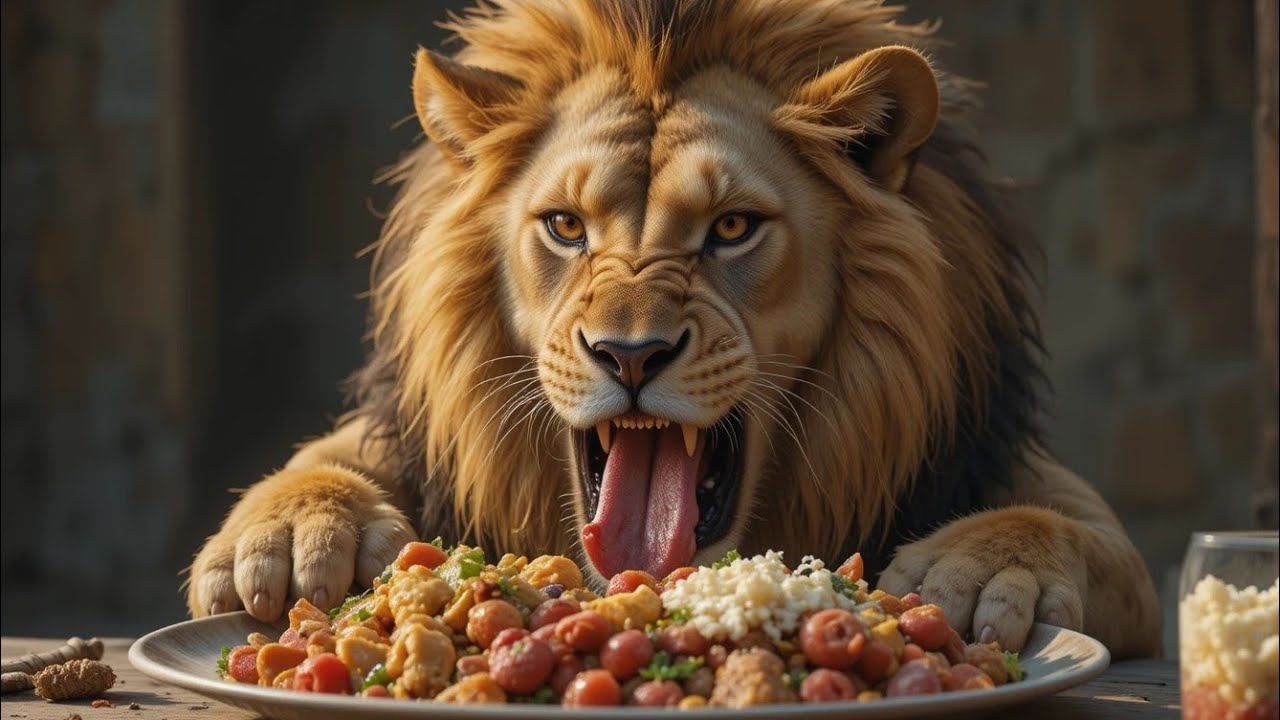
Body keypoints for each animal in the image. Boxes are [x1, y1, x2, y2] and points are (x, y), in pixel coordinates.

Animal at [186, 0, 1161, 658]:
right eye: (566, 227)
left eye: (731, 228)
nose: (630, 354)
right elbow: (324, 457)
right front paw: (297, 534)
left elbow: (1083, 532)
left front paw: (981, 571)